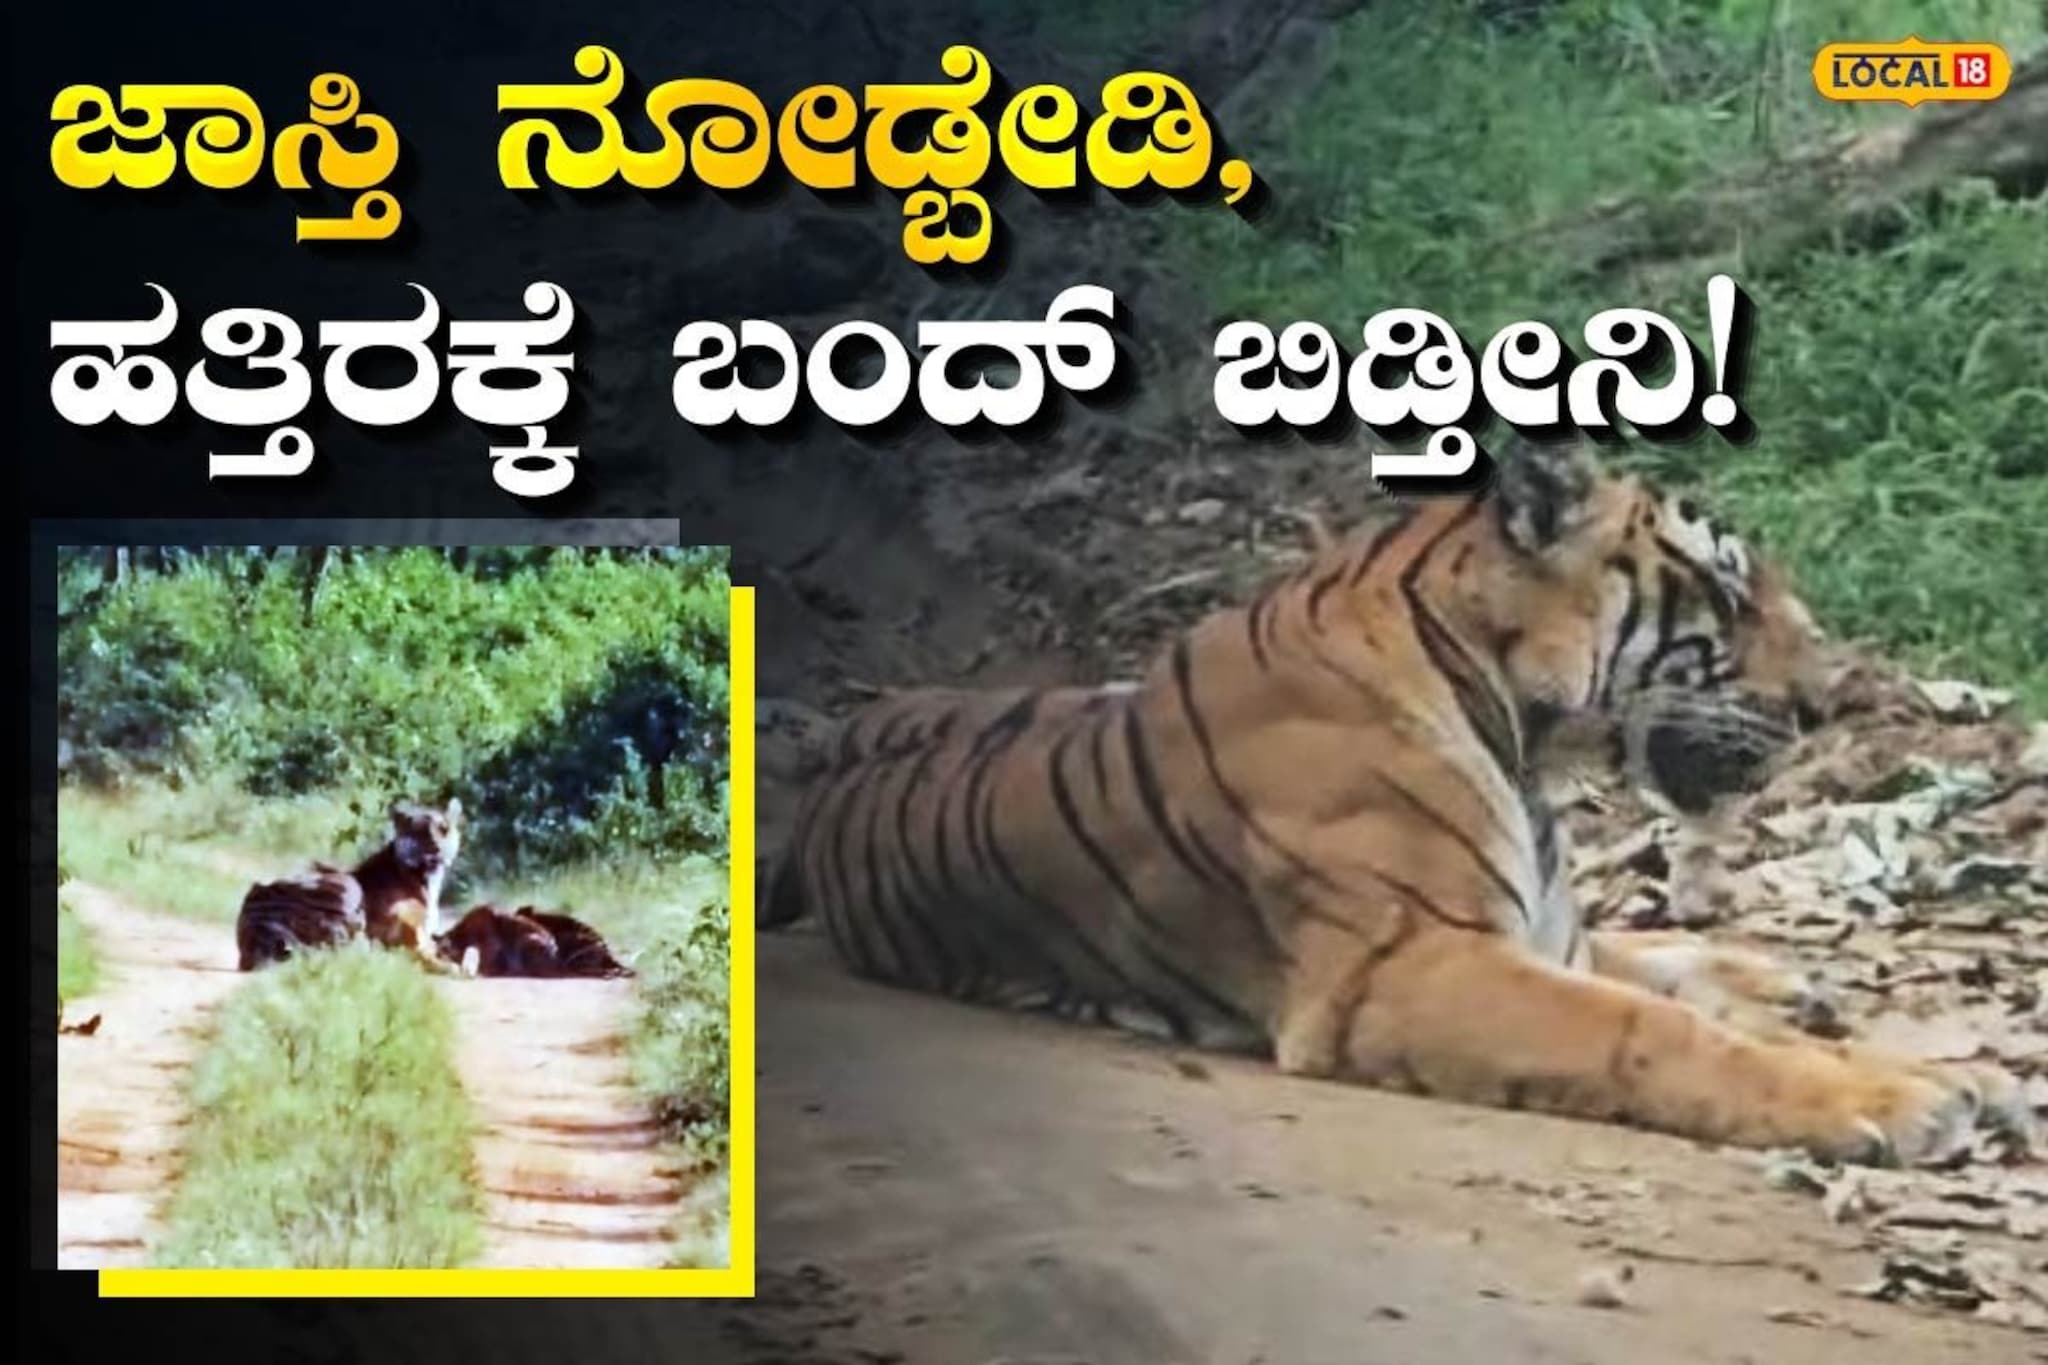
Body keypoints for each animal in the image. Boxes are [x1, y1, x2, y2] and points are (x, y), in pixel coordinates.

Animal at [235, 798, 464, 971]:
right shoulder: (411, 935)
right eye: (418, 832)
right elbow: (427, 953)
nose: (435, 849)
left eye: (443, 829)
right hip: (346, 885)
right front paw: (450, 967)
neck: (425, 878)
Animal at [764, 439, 2033, 1166]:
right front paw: (1897, 1096)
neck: (1525, 741)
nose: (1831, 703)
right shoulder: (1404, 967)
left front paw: (1960, 1073)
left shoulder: (1524, 932)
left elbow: (1662, 989)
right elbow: (1652, 1032)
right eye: (1726, 592)